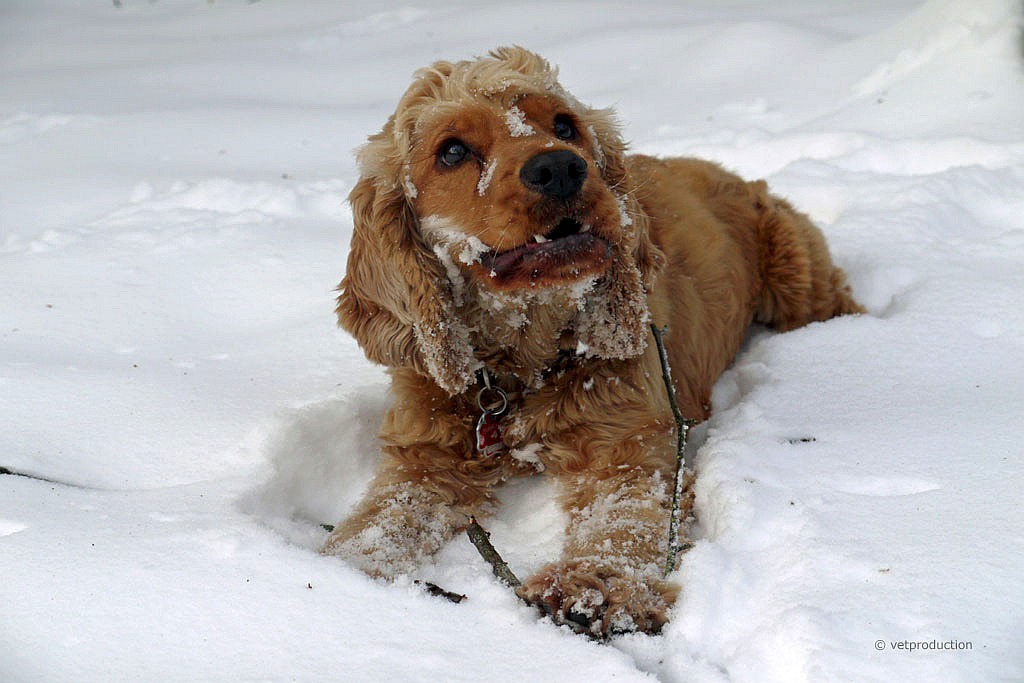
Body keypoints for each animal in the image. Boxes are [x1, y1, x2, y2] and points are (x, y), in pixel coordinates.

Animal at [321, 45, 864, 638]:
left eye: (565, 126)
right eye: (452, 151)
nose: (559, 167)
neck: (521, 362)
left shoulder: (629, 446)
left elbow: (620, 523)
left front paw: (595, 588)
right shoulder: (424, 457)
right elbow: (381, 519)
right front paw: (339, 573)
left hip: (800, 283)